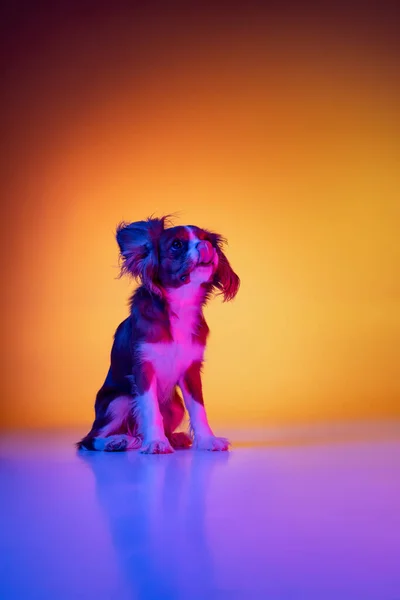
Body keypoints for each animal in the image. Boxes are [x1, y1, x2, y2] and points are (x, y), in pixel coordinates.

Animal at [77, 217, 239, 454]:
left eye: (208, 240)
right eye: (177, 245)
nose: (206, 246)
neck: (181, 303)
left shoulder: (191, 371)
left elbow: (199, 408)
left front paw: (207, 440)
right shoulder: (144, 369)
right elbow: (150, 409)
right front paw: (155, 442)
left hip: (176, 405)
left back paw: (174, 438)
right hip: (120, 400)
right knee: (89, 439)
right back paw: (116, 441)